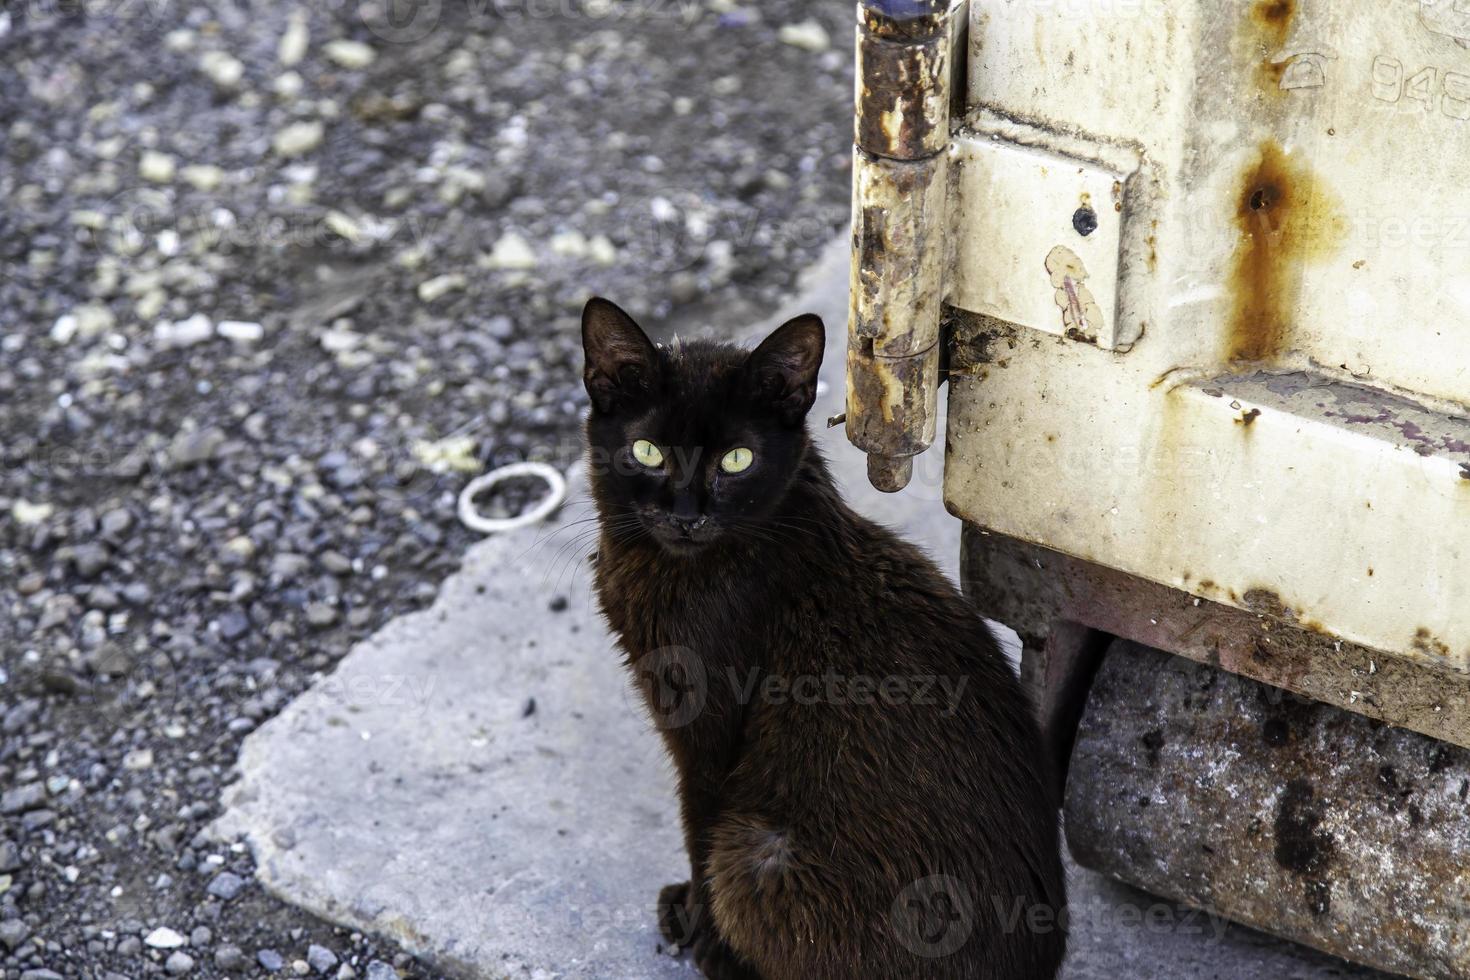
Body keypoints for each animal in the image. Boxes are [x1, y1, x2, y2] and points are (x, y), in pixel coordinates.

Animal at [576, 299, 1070, 980]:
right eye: (647, 451)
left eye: (737, 459)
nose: (686, 515)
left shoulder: (707, 734)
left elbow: (696, 824)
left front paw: (702, 929)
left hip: (756, 854)